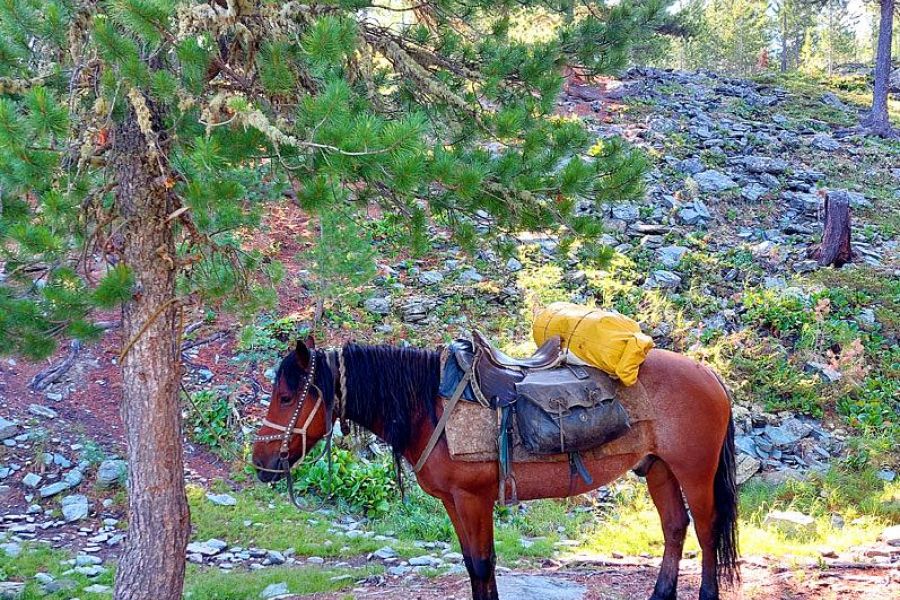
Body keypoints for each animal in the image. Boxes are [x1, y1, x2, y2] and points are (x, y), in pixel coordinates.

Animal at [250, 338, 736, 600]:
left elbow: (483, 564)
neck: (429, 408)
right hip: (658, 469)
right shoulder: (453, 503)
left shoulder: (474, 499)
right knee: (675, 528)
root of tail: (709, 373)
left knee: (707, 530)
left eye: (287, 397)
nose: (261, 463)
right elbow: (472, 563)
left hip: (694, 472)